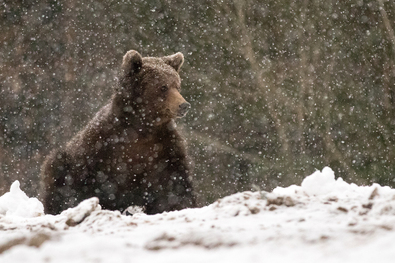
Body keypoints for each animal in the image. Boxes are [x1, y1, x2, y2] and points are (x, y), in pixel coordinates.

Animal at [39, 50, 197, 216]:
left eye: (177, 86)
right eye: (163, 87)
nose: (184, 105)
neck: (142, 128)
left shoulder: (163, 148)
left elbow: (173, 184)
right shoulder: (103, 144)